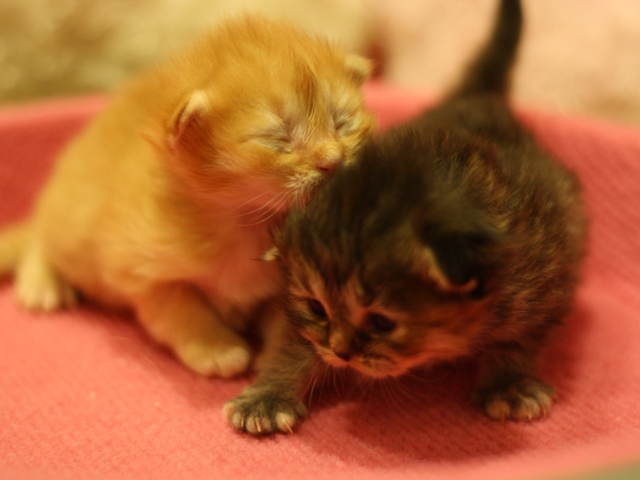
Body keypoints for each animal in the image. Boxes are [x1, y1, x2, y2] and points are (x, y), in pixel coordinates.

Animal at [0, 15, 376, 378]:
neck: (244, 220)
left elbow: (283, 320)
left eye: (342, 123)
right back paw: (40, 284)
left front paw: (274, 361)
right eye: (278, 137)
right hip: (71, 227)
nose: (333, 161)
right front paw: (217, 350)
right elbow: (182, 310)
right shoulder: (141, 270)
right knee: (40, 239)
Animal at [224, 0, 584, 436]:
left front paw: (508, 384)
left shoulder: (543, 281)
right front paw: (268, 396)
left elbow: (519, 340)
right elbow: (295, 345)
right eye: (316, 308)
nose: (341, 353)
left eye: (383, 323)